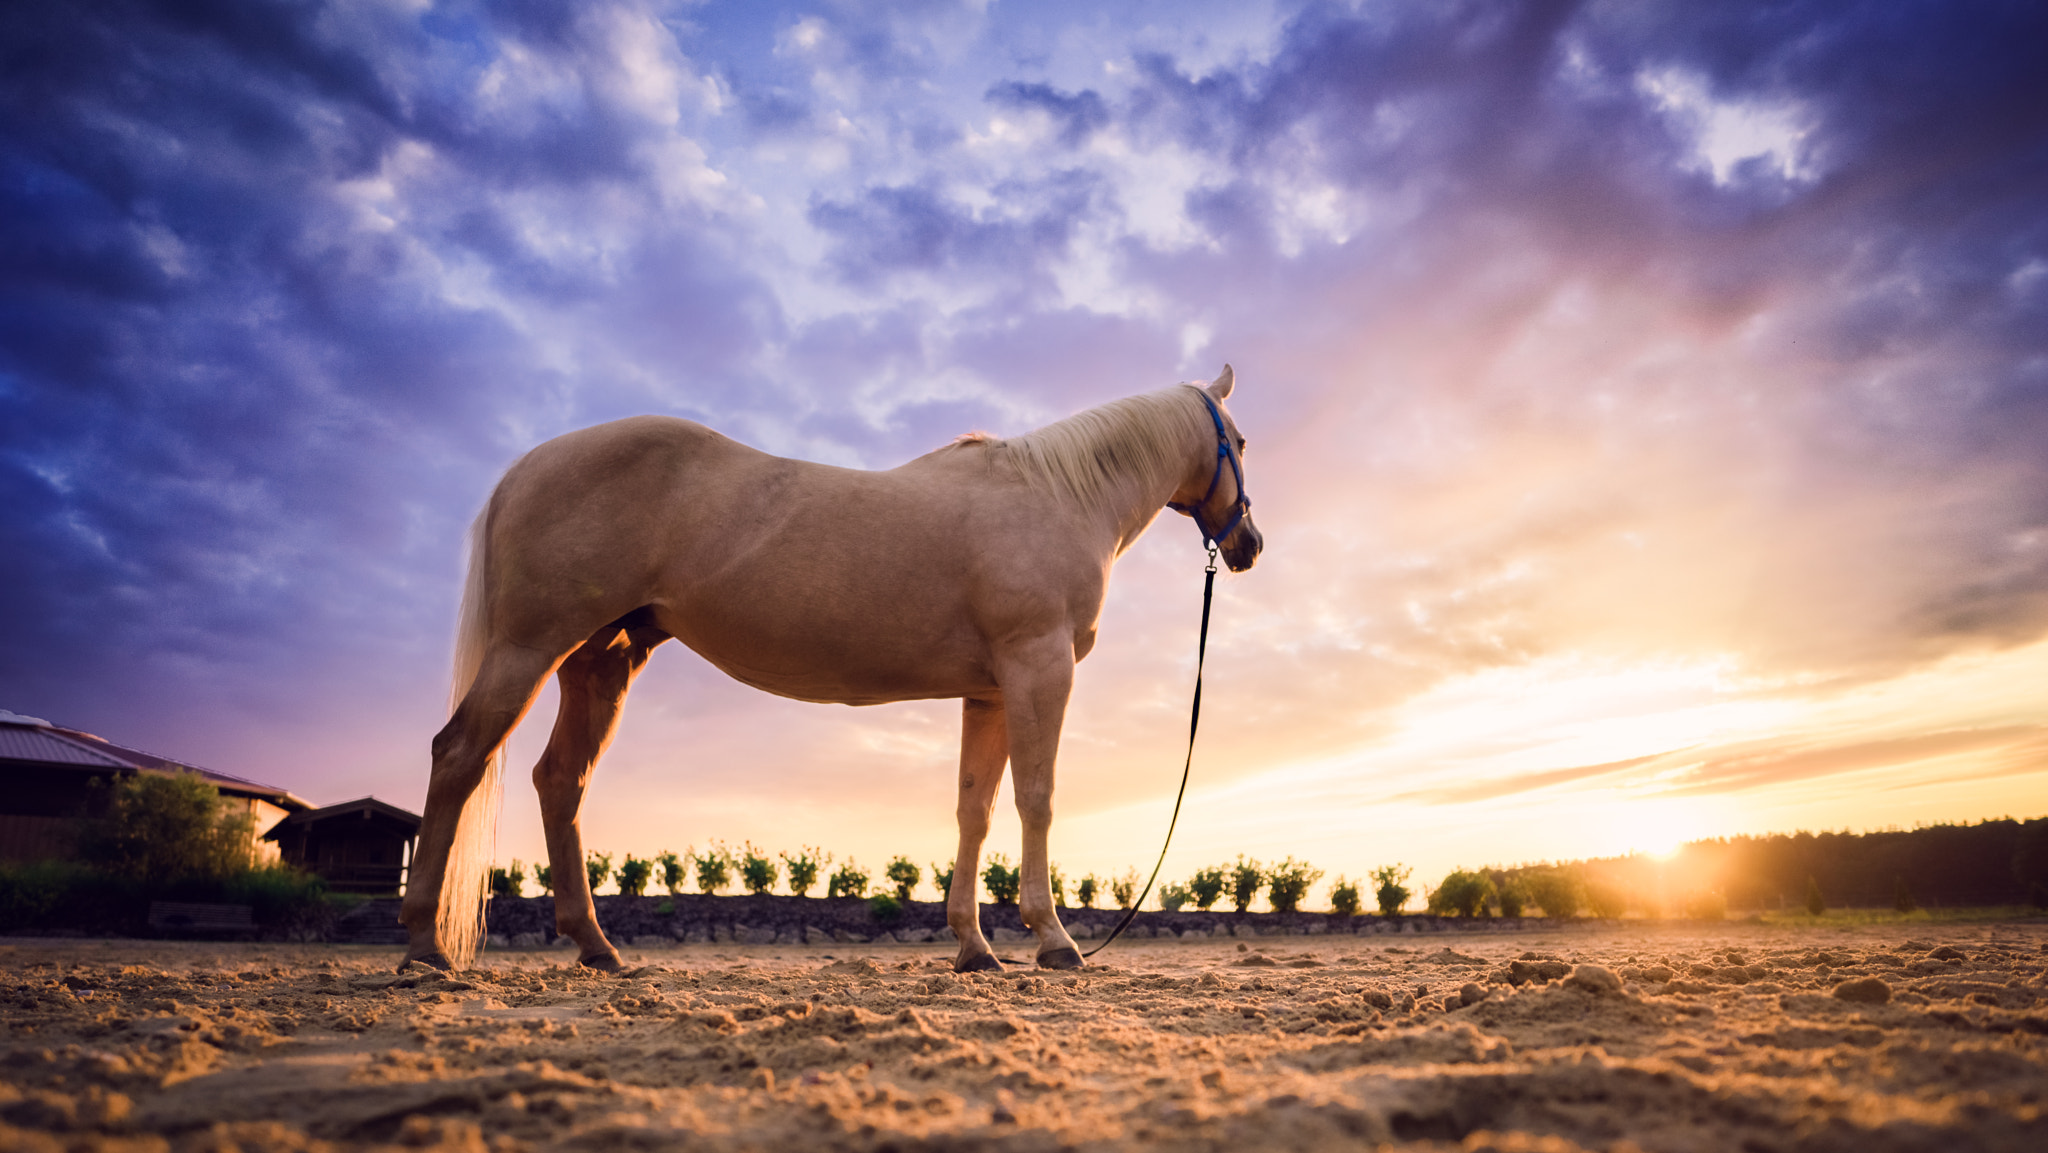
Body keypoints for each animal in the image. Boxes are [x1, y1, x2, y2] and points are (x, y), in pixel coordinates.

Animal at [395, 368, 1261, 974]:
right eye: (1243, 442)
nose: (1249, 543)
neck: (1056, 496)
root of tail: (528, 466)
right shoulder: (1037, 669)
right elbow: (1037, 799)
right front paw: (1053, 941)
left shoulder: (986, 691)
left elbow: (973, 811)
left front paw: (974, 947)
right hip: (528, 649)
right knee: (459, 754)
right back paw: (424, 945)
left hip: (601, 662)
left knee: (560, 780)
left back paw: (597, 947)